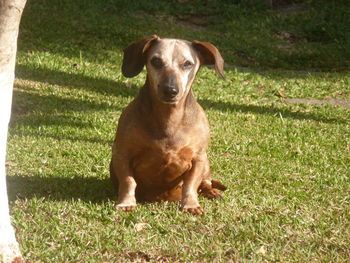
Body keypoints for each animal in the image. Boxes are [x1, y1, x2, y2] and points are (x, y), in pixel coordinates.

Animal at [110, 35, 228, 216]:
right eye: (156, 61)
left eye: (187, 63)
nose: (170, 90)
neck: (169, 118)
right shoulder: (122, 154)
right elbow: (128, 181)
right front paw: (126, 202)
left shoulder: (198, 158)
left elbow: (190, 184)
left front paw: (190, 204)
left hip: (207, 163)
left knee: (205, 182)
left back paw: (212, 192)